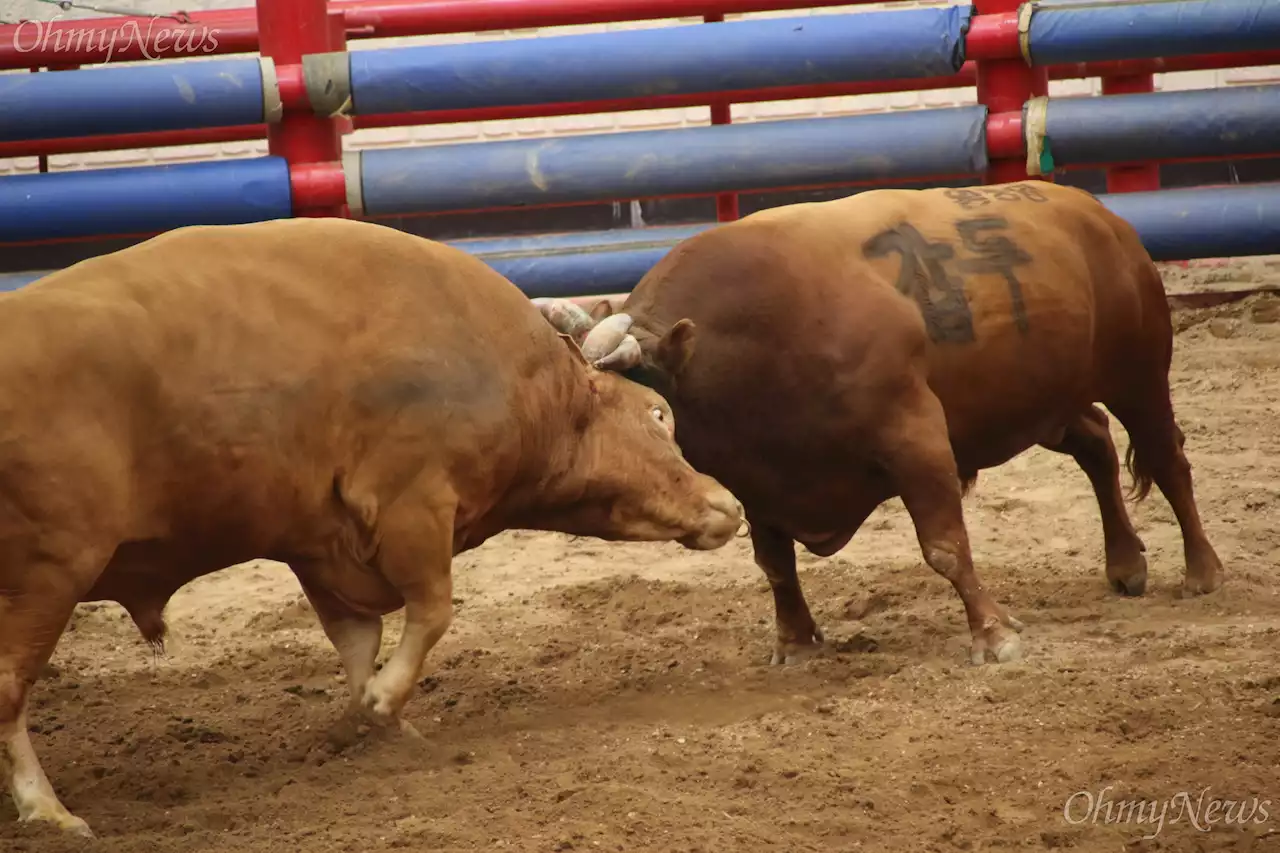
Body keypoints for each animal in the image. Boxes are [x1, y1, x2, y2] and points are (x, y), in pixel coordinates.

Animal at [0, 216, 742, 835]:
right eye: (657, 415)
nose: (728, 505)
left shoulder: (319, 544)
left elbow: (358, 640)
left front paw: (369, 724)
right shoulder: (414, 503)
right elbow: (432, 611)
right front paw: (385, 700)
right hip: (48, 572)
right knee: (10, 687)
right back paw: (47, 808)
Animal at [535, 180, 1223, 666]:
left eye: (656, 411)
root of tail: (1100, 217)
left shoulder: (916, 437)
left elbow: (945, 547)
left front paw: (994, 634)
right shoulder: (757, 479)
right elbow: (775, 563)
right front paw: (795, 642)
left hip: (1139, 375)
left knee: (1168, 460)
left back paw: (1202, 570)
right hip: (1045, 401)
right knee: (1097, 445)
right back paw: (1125, 562)